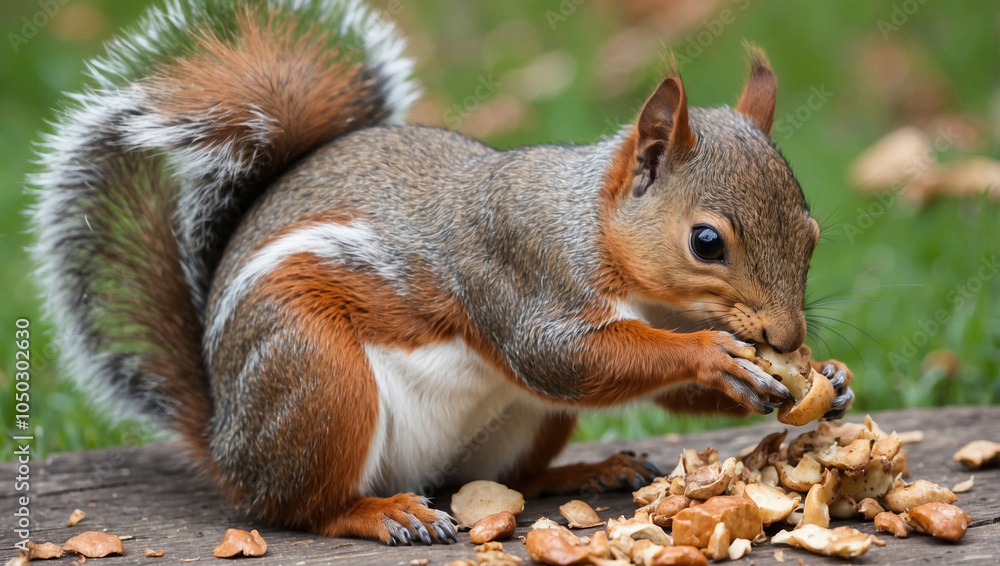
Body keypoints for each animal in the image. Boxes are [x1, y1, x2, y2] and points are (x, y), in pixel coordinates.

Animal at [30, 0, 853, 545]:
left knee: (491, 482)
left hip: (520, 423)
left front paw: (832, 380)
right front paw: (715, 357)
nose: (788, 336)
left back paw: (581, 473)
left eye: (812, 233)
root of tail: (227, 440)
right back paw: (378, 511)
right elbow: (561, 357)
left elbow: (657, 391)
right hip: (316, 376)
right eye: (706, 242)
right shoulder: (519, 270)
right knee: (295, 509)